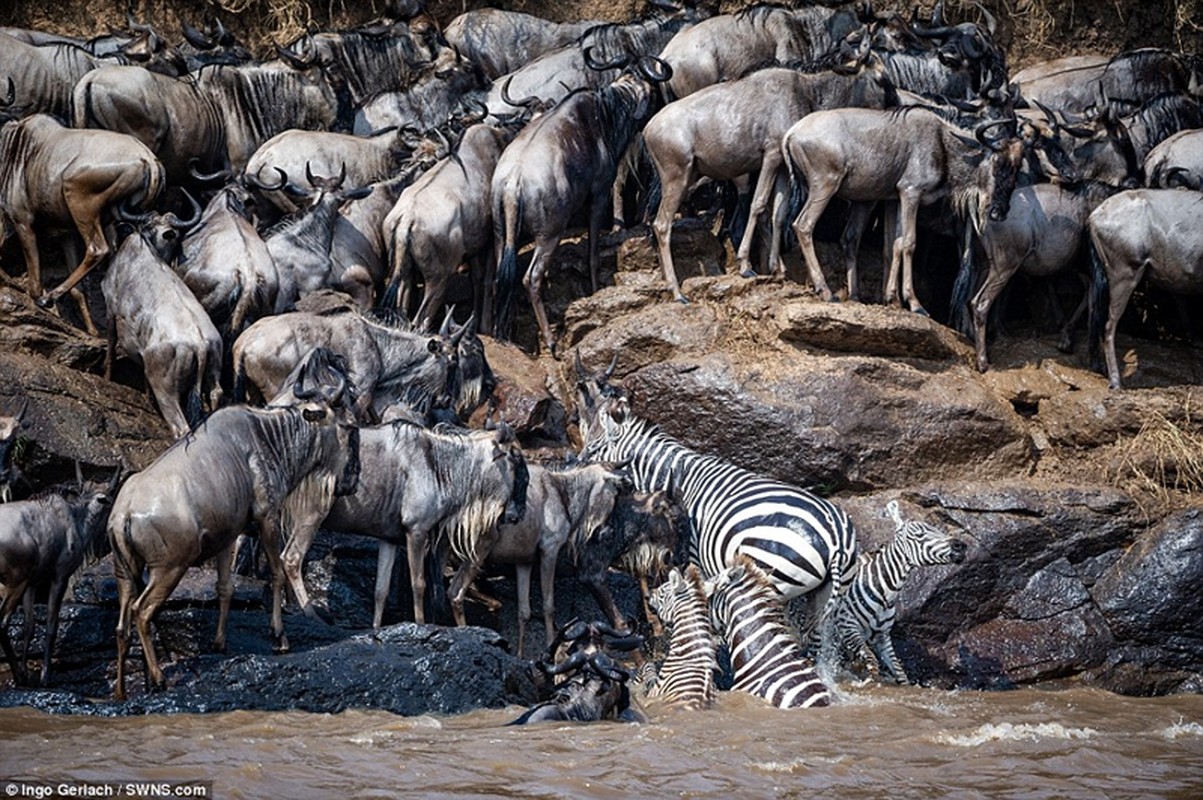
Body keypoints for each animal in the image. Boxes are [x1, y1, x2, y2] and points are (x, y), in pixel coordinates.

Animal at [827, 500, 967, 678]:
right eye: (919, 535)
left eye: (938, 530)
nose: (960, 546)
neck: (884, 592)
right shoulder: (847, 626)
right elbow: (872, 663)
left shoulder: (882, 637)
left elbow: (900, 673)